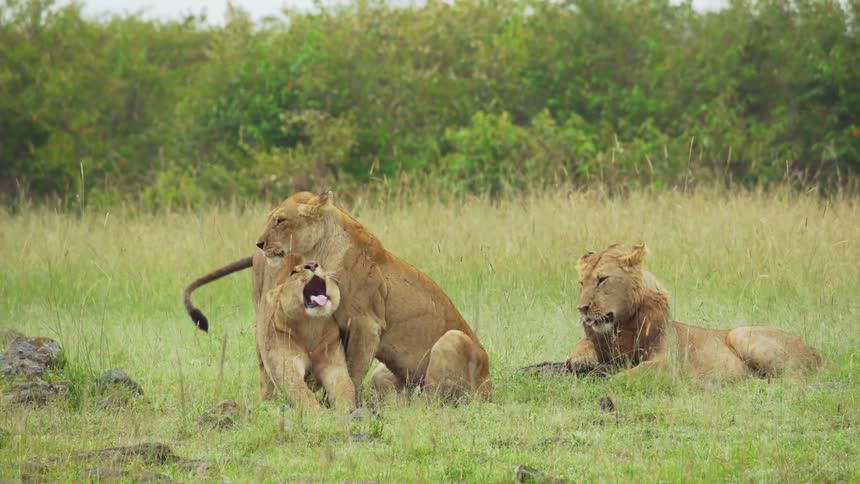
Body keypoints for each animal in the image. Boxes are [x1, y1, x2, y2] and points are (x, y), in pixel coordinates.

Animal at [254, 191, 493, 402]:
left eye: (280, 220)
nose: (259, 244)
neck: (322, 251)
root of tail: (489, 388)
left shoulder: (367, 325)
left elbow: (352, 372)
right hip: (384, 374)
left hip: (454, 339)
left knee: (433, 401)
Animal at [565, 244, 822, 380]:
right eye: (581, 283)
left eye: (602, 280)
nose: (582, 308)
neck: (620, 325)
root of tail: (818, 354)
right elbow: (581, 344)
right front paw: (579, 360)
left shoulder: (668, 362)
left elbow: (637, 371)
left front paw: (611, 377)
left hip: (740, 334)